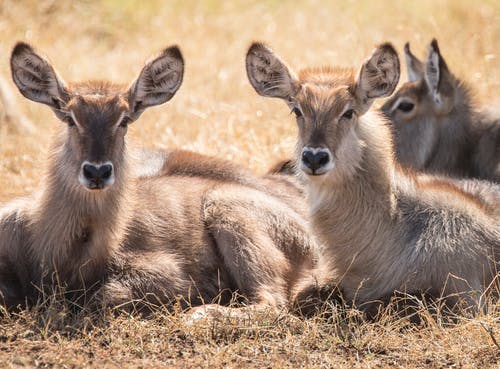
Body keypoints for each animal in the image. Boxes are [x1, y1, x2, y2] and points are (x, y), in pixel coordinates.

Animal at [0, 42, 318, 310]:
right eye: (69, 117)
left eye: (124, 120)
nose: (97, 171)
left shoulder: (165, 271)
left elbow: (106, 294)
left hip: (228, 209)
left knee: (272, 302)